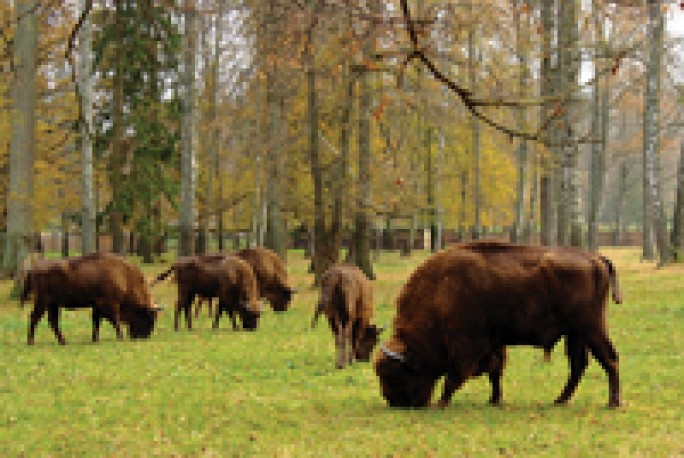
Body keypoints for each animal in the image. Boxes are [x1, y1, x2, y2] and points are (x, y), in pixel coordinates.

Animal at [20, 252, 162, 346]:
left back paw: (63, 341)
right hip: (43, 301)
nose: (144, 336)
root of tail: (33, 269)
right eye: (149, 317)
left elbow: (96, 322)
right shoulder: (110, 304)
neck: (125, 276)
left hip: (53, 304)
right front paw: (120, 337)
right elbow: (114, 320)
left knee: (52, 321)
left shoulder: (97, 306)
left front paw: (95, 339)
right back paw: (31, 341)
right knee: (35, 317)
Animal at [376, 242, 624, 410]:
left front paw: (442, 403)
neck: (440, 292)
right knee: (578, 365)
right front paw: (494, 400)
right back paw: (559, 400)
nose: (393, 402)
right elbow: (495, 372)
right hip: (575, 334)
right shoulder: (493, 343)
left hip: (591, 328)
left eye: (395, 374)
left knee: (609, 358)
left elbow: (454, 376)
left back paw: (612, 403)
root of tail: (595, 258)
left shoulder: (467, 345)